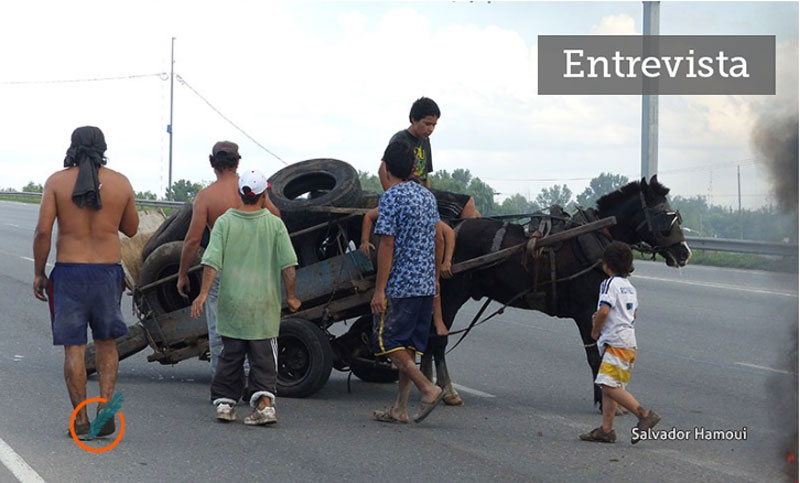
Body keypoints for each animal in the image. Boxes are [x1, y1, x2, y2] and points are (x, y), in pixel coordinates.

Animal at [424, 177, 692, 408]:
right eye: (665, 218)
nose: (685, 253)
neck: (598, 238)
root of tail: (449, 228)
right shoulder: (586, 312)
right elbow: (594, 357)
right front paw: (604, 400)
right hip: (452, 294)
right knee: (438, 340)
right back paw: (446, 390)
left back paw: (429, 382)